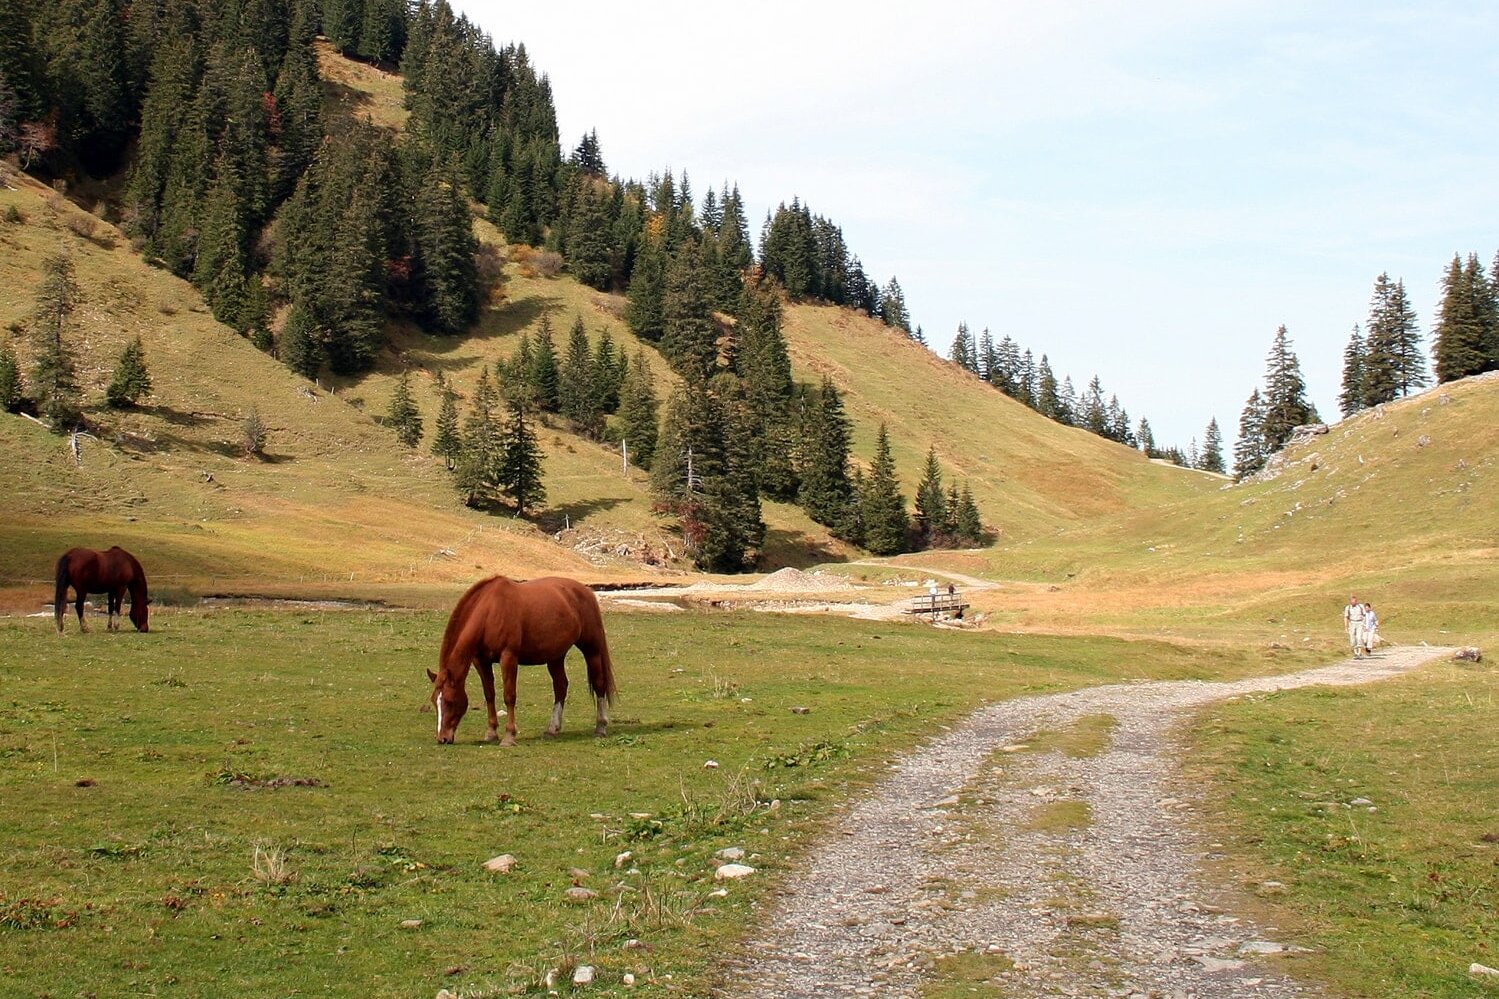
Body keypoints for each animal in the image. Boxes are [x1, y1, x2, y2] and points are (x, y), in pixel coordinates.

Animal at [427, 576, 616, 746]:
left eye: (449, 701)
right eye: (434, 701)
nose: (442, 738)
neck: (489, 612)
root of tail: (586, 591)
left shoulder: (508, 657)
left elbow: (509, 696)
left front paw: (509, 736)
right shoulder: (481, 661)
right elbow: (489, 694)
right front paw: (491, 733)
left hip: (591, 649)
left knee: (599, 683)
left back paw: (600, 727)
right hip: (556, 656)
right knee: (560, 687)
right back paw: (552, 729)